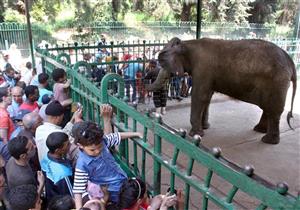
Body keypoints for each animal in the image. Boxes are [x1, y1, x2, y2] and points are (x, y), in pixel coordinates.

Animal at [149, 37, 296, 144]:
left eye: (163, 62)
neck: (188, 43)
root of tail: (290, 61)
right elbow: (207, 97)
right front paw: (205, 128)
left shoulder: (203, 69)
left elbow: (200, 96)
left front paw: (195, 134)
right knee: (268, 108)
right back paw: (260, 130)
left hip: (277, 82)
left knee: (274, 110)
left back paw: (268, 141)